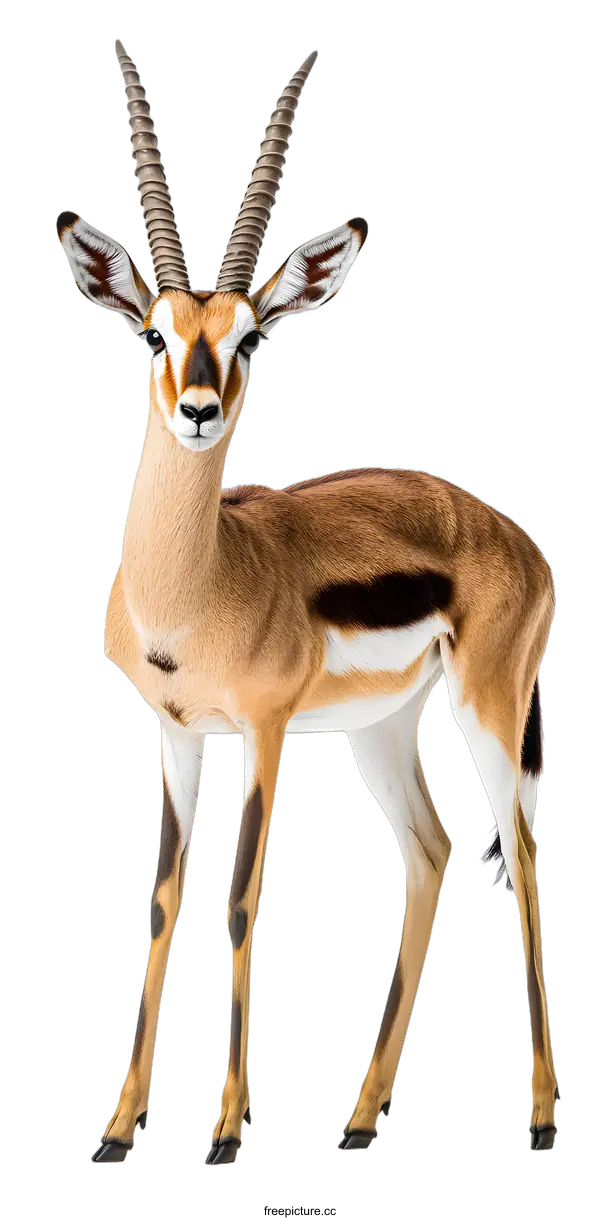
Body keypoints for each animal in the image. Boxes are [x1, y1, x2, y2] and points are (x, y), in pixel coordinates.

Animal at [57, 39, 558, 1166]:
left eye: (252, 336)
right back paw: (362, 1118)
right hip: (383, 726)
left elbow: (241, 891)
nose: (200, 412)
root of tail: (508, 532)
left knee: (517, 849)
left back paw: (546, 1117)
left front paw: (225, 1132)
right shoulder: (174, 728)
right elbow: (164, 896)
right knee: (432, 849)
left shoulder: (266, 727)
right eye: (154, 335)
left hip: (489, 706)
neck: (197, 585)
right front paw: (117, 1128)